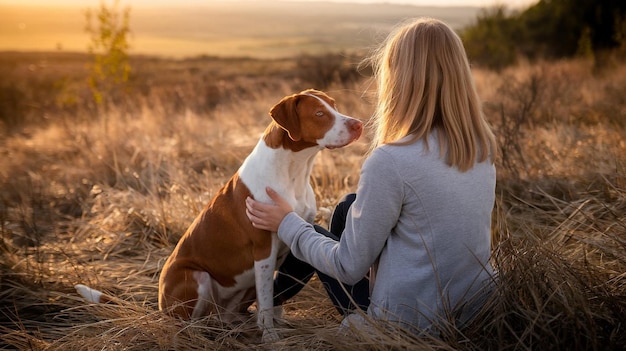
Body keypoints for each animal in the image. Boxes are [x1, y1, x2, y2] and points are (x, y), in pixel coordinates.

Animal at [76, 88, 364, 344]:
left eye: (334, 105)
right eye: (319, 113)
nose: (358, 124)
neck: (294, 170)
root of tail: (160, 308)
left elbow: (273, 296)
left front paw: (276, 325)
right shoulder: (263, 250)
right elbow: (267, 299)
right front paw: (270, 336)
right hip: (196, 277)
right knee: (187, 322)